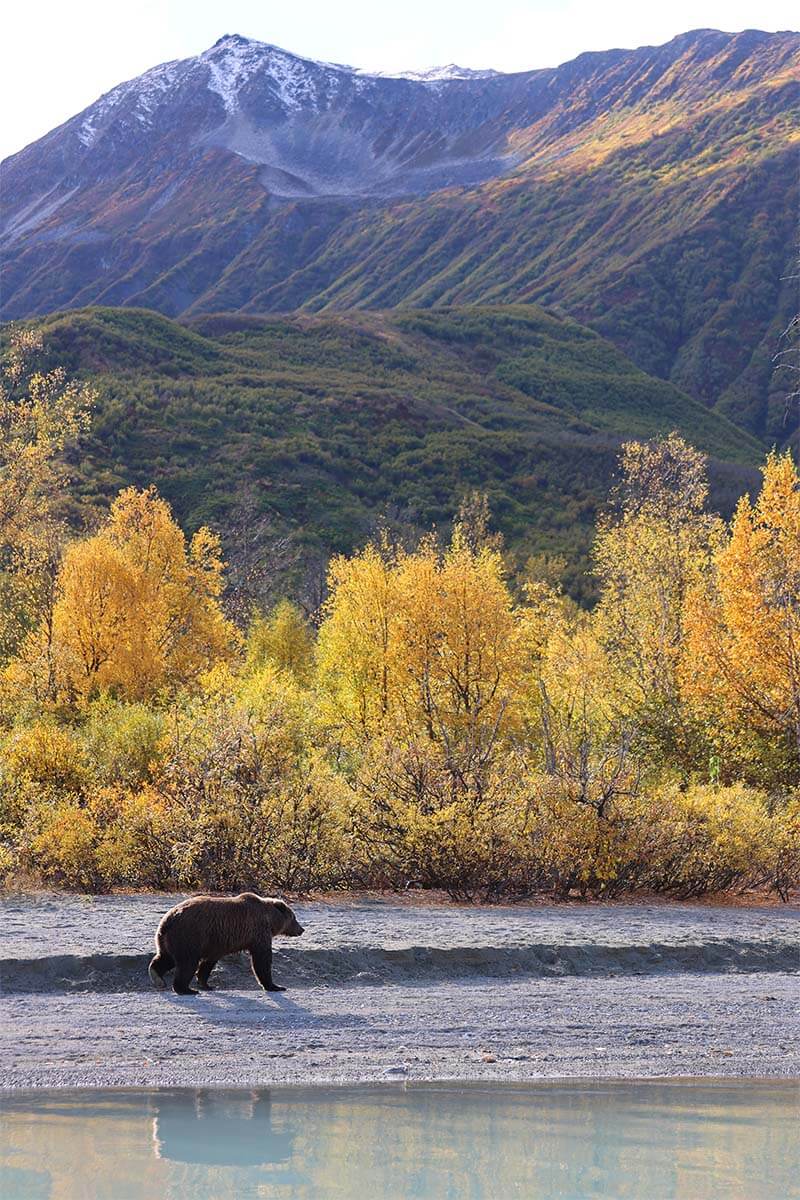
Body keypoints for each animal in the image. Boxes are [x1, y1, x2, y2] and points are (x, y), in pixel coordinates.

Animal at [146, 892, 303, 993]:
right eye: (294, 917)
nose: (301, 929)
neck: (270, 919)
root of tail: (167, 920)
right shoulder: (258, 932)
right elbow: (262, 959)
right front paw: (275, 986)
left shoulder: (216, 943)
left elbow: (208, 963)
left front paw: (206, 984)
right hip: (188, 935)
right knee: (187, 963)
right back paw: (186, 989)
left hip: (169, 939)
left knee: (166, 958)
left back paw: (157, 977)